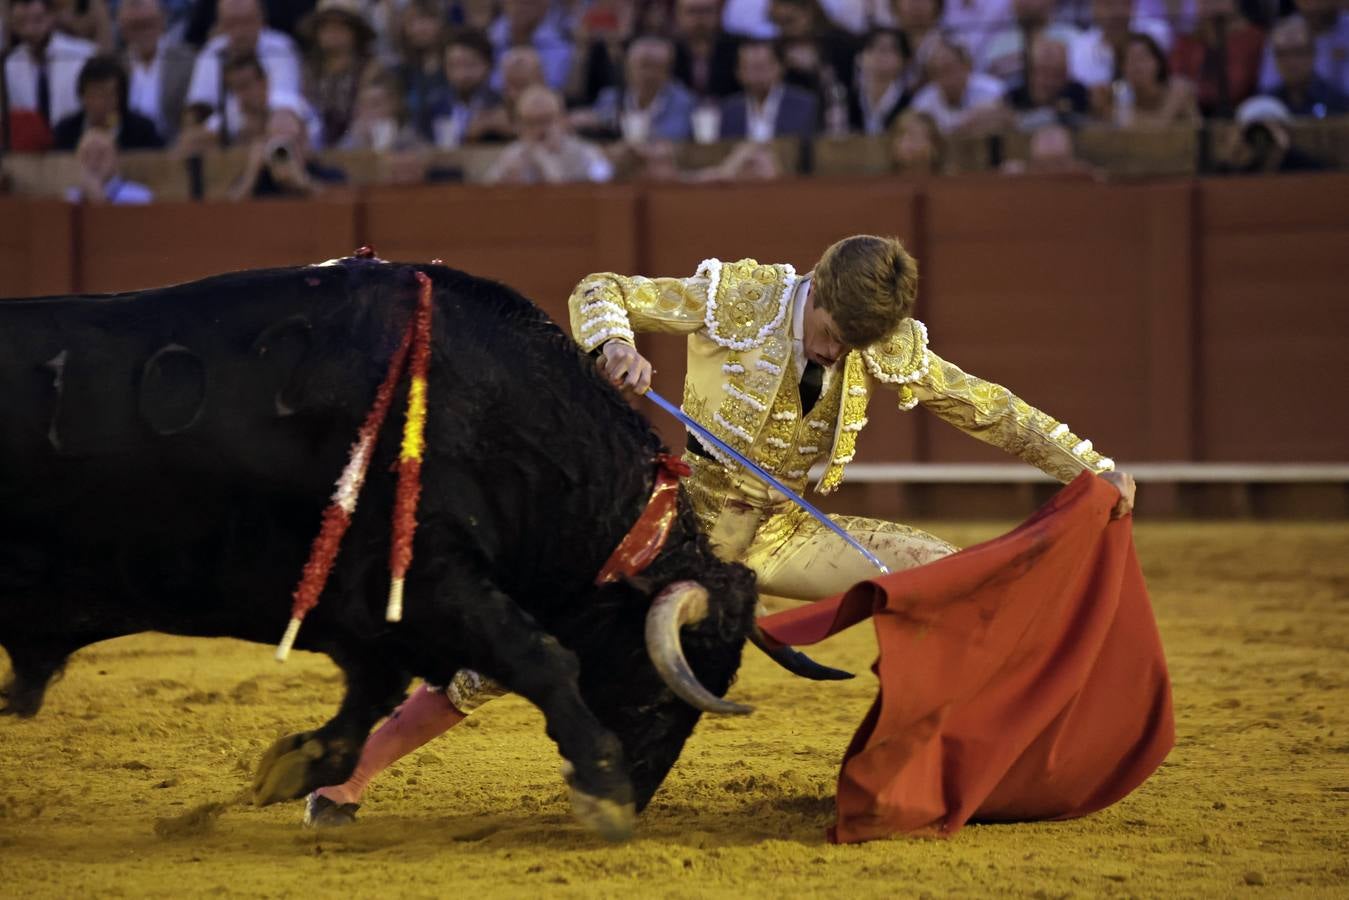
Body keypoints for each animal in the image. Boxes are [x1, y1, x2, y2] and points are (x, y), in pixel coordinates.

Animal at [0, 256, 760, 841]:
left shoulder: (376, 612)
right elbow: (541, 656)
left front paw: (293, 766)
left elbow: (368, 704)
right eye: (664, 686)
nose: (639, 792)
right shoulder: (429, 576)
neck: (495, 413)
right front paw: (601, 790)